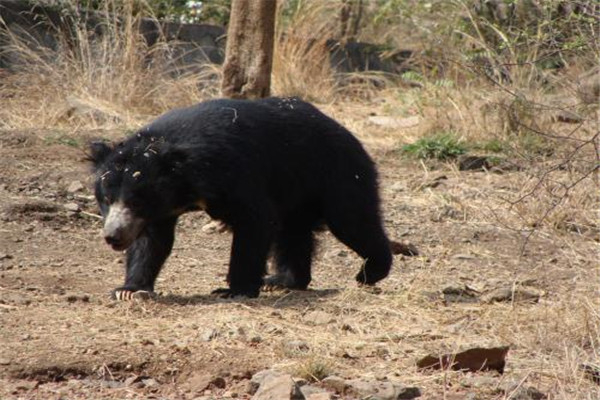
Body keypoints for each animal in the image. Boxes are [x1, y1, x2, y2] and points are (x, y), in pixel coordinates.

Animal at [86, 95, 392, 298]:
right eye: (106, 200)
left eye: (135, 201)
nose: (113, 236)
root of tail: (349, 134)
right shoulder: (160, 208)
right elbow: (151, 240)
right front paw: (129, 290)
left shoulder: (233, 171)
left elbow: (254, 219)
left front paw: (234, 290)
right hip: (296, 191)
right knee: (293, 233)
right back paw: (283, 281)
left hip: (338, 173)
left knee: (352, 221)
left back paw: (371, 272)